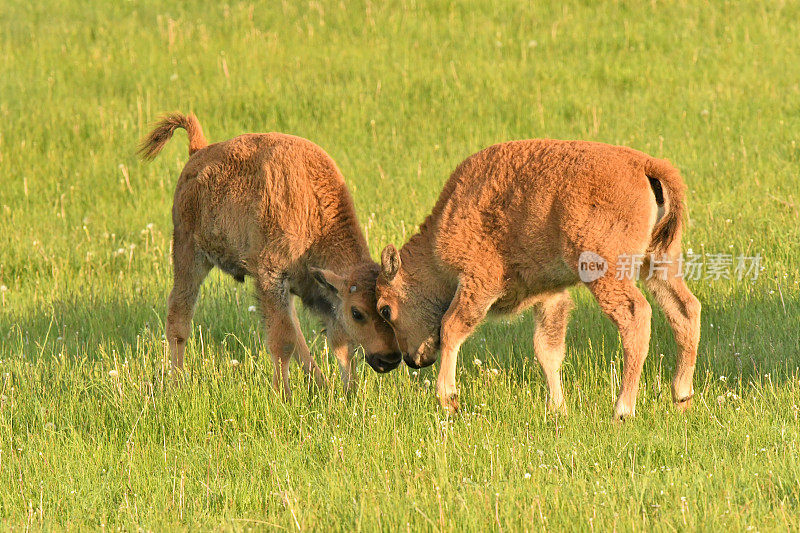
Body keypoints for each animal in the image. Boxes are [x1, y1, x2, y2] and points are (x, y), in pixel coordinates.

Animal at [139, 113, 400, 400]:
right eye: (358, 313)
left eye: (387, 309)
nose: (390, 359)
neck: (312, 207)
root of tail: (198, 151)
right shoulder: (271, 277)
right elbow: (283, 341)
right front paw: (283, 395)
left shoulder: (315, 290)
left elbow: (338, 344)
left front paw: (348, 392)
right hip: (189, 254)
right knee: (179, 317)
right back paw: (176, 384)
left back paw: (321, 383)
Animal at [376, 138, 700, 420]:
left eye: (385, 309)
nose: (412, 360)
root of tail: (646, 165)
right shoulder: (550, 294)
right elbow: (547, 350)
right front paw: (557, 409)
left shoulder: (478, 282)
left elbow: (451, 327)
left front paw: (448, 399)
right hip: (659, 263)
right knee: (685, 309)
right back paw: (681, 398)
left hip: (605, 270)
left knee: (636, 316)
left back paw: (622, 410)